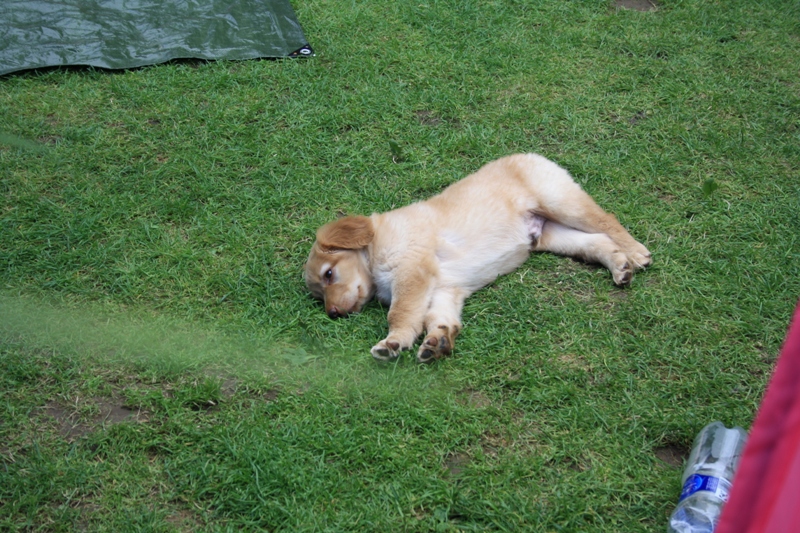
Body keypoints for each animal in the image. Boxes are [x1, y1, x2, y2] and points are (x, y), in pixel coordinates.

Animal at [304, 153, 651, 363]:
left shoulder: (412, 272)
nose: (333, 314)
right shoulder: (445, 290)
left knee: (607, 221)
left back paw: (636, 253)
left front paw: (393, 342)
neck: (374, 247)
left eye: (329, 274)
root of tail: (530, 155)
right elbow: (439, 319)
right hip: (552, 234)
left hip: (561, 202)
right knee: (596, 241)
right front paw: (437, 342)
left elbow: (400, 314)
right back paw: (620, 266)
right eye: (319, 294)